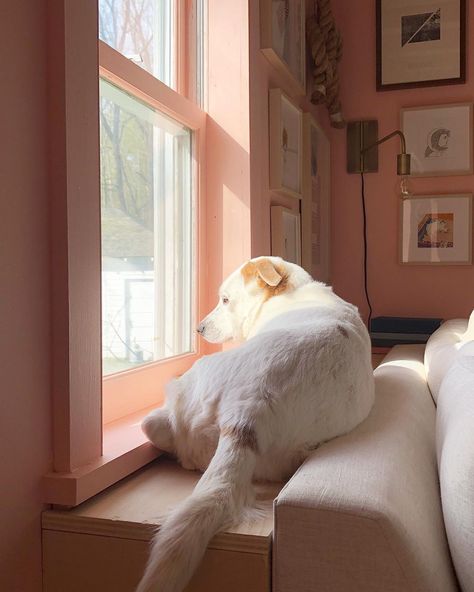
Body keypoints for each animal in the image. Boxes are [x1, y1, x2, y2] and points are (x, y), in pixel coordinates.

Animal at [135, 256, 376, 592]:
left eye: (225, 300)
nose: (199, 328)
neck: (290, 293)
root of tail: (249, 410)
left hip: (184, 389)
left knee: (156, 428)